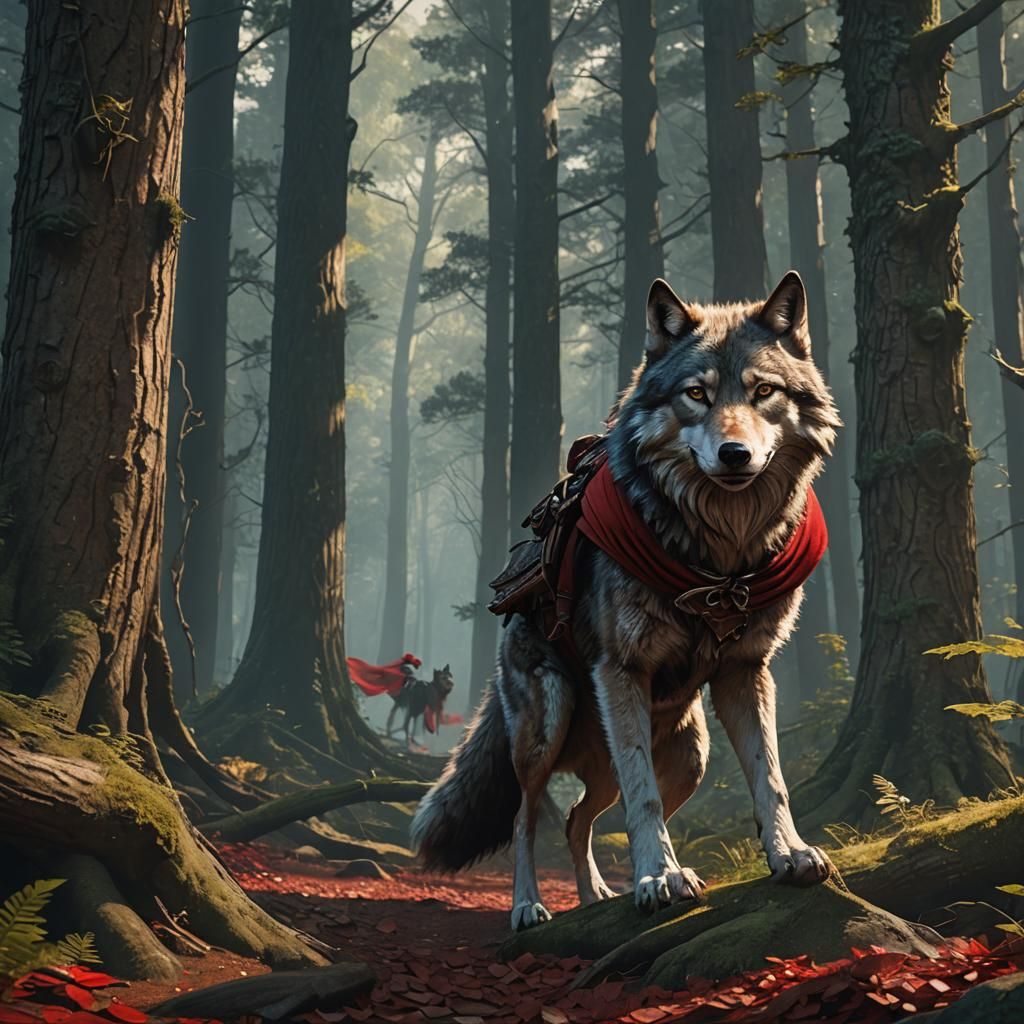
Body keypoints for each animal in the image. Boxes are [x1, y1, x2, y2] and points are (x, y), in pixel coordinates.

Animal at [411, 272, 840, 930]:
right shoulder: (621, 670)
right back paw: (530, 907)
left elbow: (771, 778)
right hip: (550, 724)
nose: (735, 454)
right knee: (527, 818)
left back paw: (595, 899)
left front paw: (789, 854)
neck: (718, 557)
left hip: (689, 754)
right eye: (696, 394)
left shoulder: (746, 672)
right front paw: (659, 877)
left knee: (576, 817)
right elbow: (645, 801)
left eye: (763, 390)